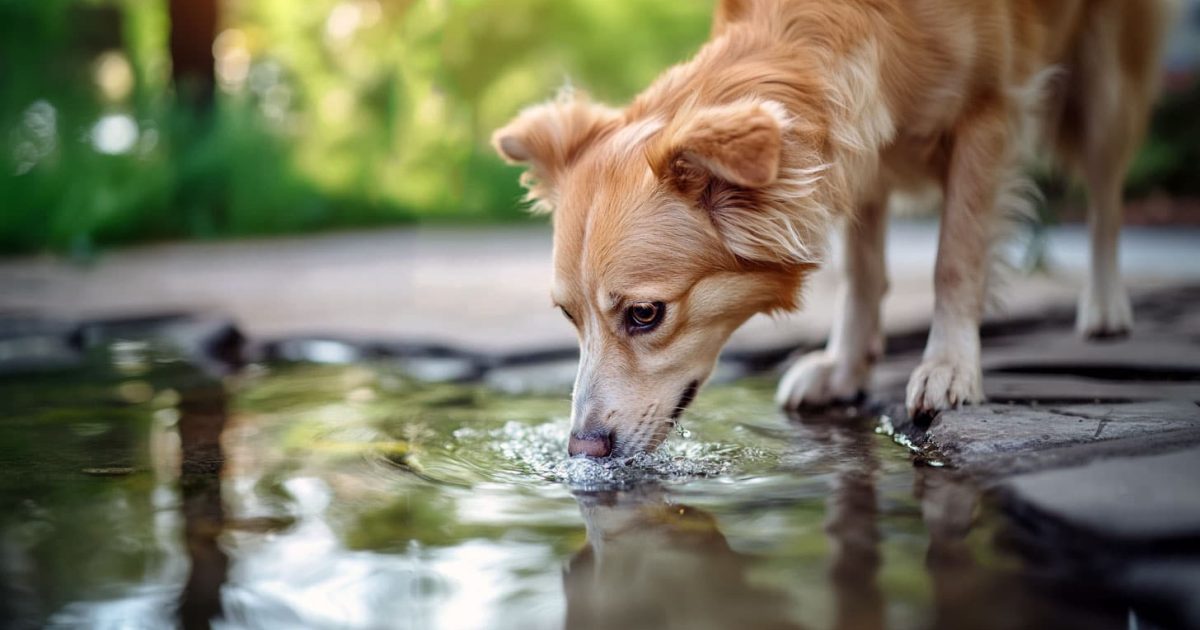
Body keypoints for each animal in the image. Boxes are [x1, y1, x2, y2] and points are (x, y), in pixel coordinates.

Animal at [487, 0, 1171, 453]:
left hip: (1104, 85)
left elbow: (957, 257)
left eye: (646, 315)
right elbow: (862, 272)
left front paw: (951, 366)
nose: (581, 451)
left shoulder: (990, 109)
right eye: (568, 318)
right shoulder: (858, 149)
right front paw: (845, 369)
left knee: (1107, 195)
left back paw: (1106, 307)